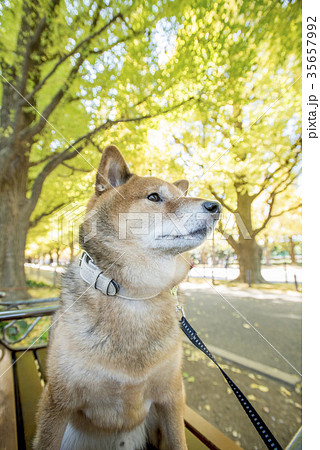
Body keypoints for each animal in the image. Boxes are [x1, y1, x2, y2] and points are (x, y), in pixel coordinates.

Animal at [33, 146, 221, 448]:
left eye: (181, 196)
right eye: (154, 197)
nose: (216, 207)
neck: (134, 296)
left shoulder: (172, 396)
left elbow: (178, 440)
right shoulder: (59, 400)